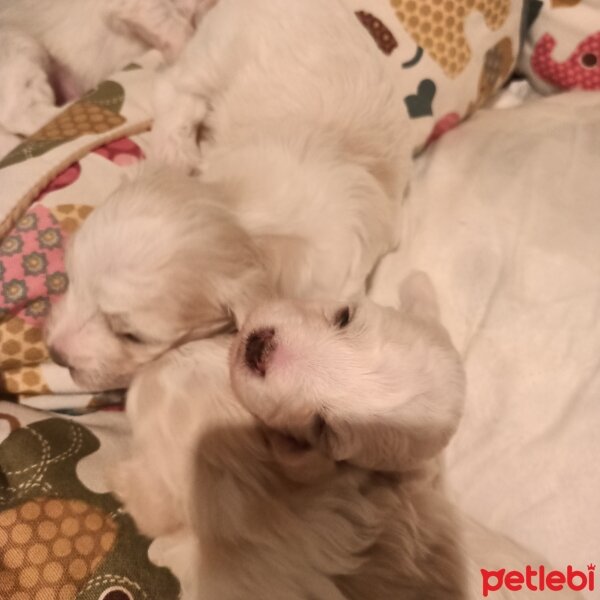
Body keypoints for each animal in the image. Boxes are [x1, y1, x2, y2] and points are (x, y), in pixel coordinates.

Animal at [45, 0, 412, 392]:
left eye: (132, 336)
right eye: (70, 279)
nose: (55, 354)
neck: (245, 216)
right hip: (215, 51)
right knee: (176, 78)